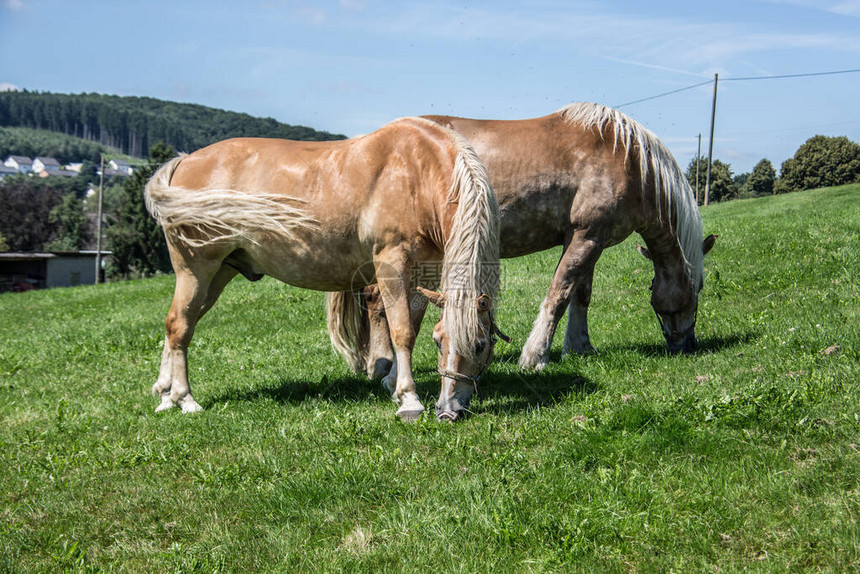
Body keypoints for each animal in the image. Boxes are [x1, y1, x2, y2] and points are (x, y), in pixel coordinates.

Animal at [144, 118, 500, 424]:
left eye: (481, 345)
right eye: (440, 344)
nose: (449, 410)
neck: (417, 171)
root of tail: (182, 163)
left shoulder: (425, 272)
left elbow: (409, 325)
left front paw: (393, 384)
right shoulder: (392, 263)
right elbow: (402, 331)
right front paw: (409, 399)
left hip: (218, 274)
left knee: (179, 325)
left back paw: (165, 395)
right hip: (195, 270)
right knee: (179, 325)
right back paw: (185, 398)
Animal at [332, 103, 716, 378]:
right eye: (697, 287)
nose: (688, 344)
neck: (627, 158)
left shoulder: (589, 238)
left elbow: (581, 295)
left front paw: (580, 347)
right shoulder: (587, 236)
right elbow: (559, 294)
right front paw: (535, 356)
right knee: (378, 301)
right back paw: (381, 363)